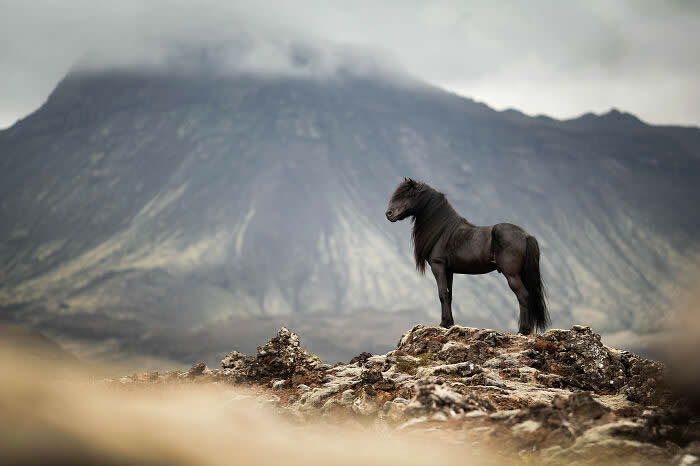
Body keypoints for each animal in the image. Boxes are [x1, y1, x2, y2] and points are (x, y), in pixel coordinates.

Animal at [386, 178, 548, 334]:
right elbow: (449, 295)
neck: (443, 231)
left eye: (408, 195)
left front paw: (443, 323)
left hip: (512, 275)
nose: (389, 214)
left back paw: (523, 330)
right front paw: (449, 323)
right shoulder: (448, 271)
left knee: (523, 296)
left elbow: (442, 294)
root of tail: (526, 235)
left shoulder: (438, 266)